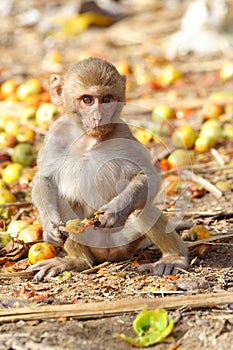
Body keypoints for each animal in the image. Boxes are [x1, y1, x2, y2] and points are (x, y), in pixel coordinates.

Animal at [28, 57, 189, 282]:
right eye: (87, 100)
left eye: (106, 99)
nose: (98, 117)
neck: (89, 139)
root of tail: (109, 253)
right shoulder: (56, 133)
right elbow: (44, 179)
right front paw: (49, 225)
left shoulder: (123, 133)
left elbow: (149, 176)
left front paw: (114, 211)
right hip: (90, 241)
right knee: (65, 206)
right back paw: (77, 261)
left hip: (129, 238)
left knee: (143, 206)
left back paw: (173, 257)